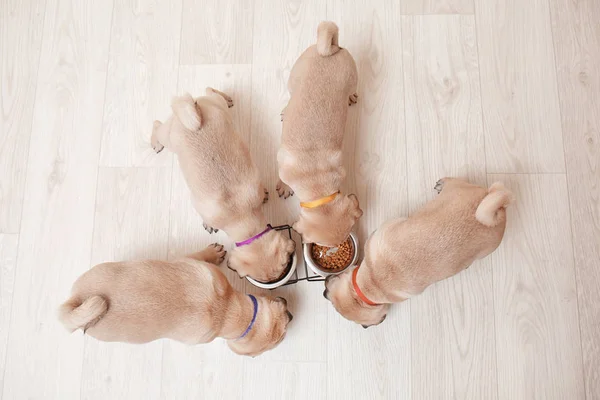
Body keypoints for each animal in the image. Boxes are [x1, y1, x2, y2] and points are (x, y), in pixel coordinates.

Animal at [58, 244, 292, 356]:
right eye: (283, 336)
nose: (291, 314)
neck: (227, 310)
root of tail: (74, 301)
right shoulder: (192, 261)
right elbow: (201, 255)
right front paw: (213, 253)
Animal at [276, 22, 360, 247]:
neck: (316, 180)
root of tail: (329, 50)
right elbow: (281, 179)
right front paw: (283, 187)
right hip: (293, 79)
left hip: (352, 78)